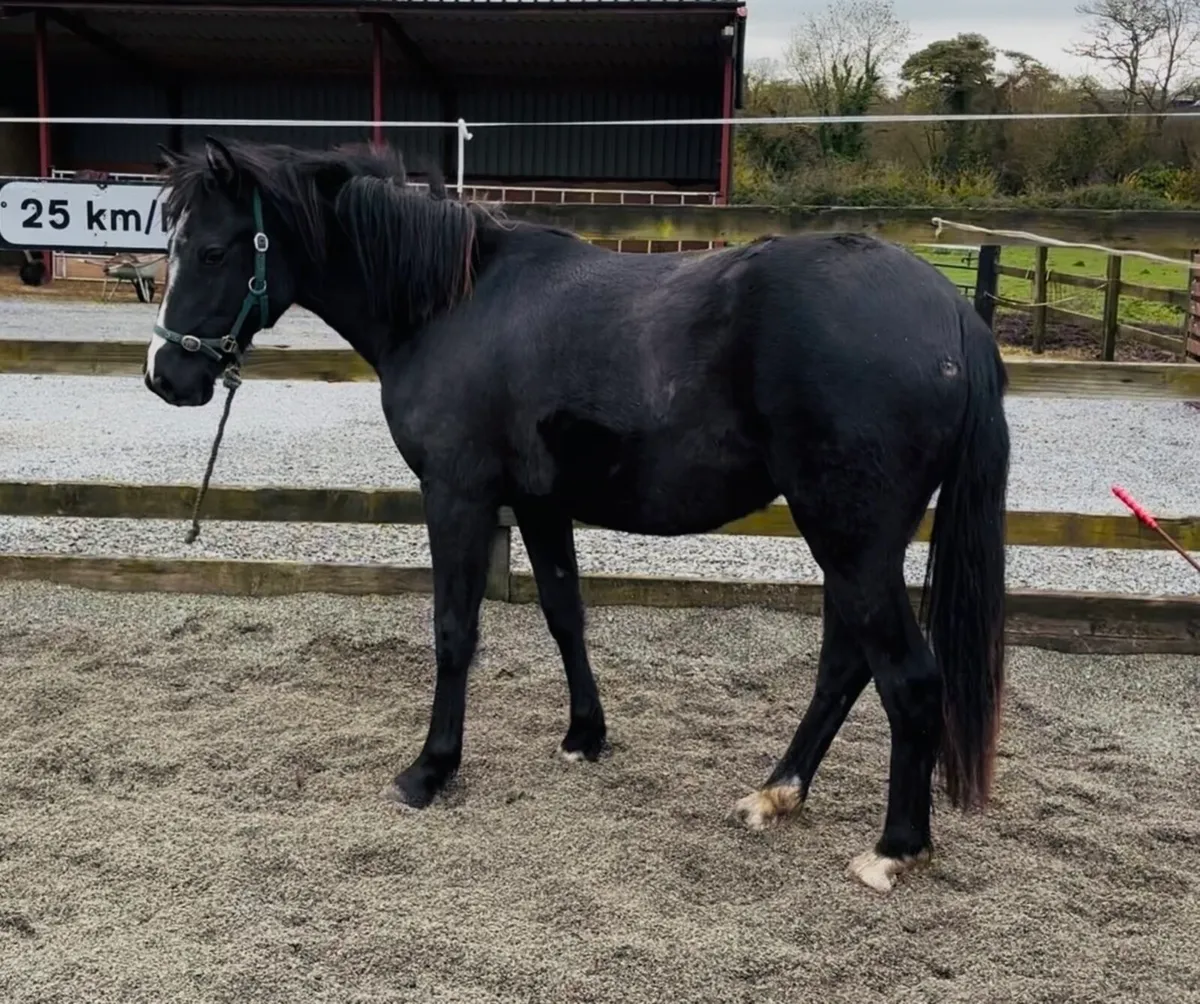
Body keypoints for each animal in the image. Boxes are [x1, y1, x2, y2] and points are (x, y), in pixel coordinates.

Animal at [144, 137, 1010, 893]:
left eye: (213, 251)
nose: (164, 376)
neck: (450, 304)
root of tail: (952, 315)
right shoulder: (539, 502)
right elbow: (566, 612)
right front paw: (585, 736)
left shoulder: (457, 494)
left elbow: (454, 631)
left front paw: (431, 769)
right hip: (849, 542)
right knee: (845, 663)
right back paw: (777, 792)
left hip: (850, 538)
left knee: (907, 677)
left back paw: (894, 849)